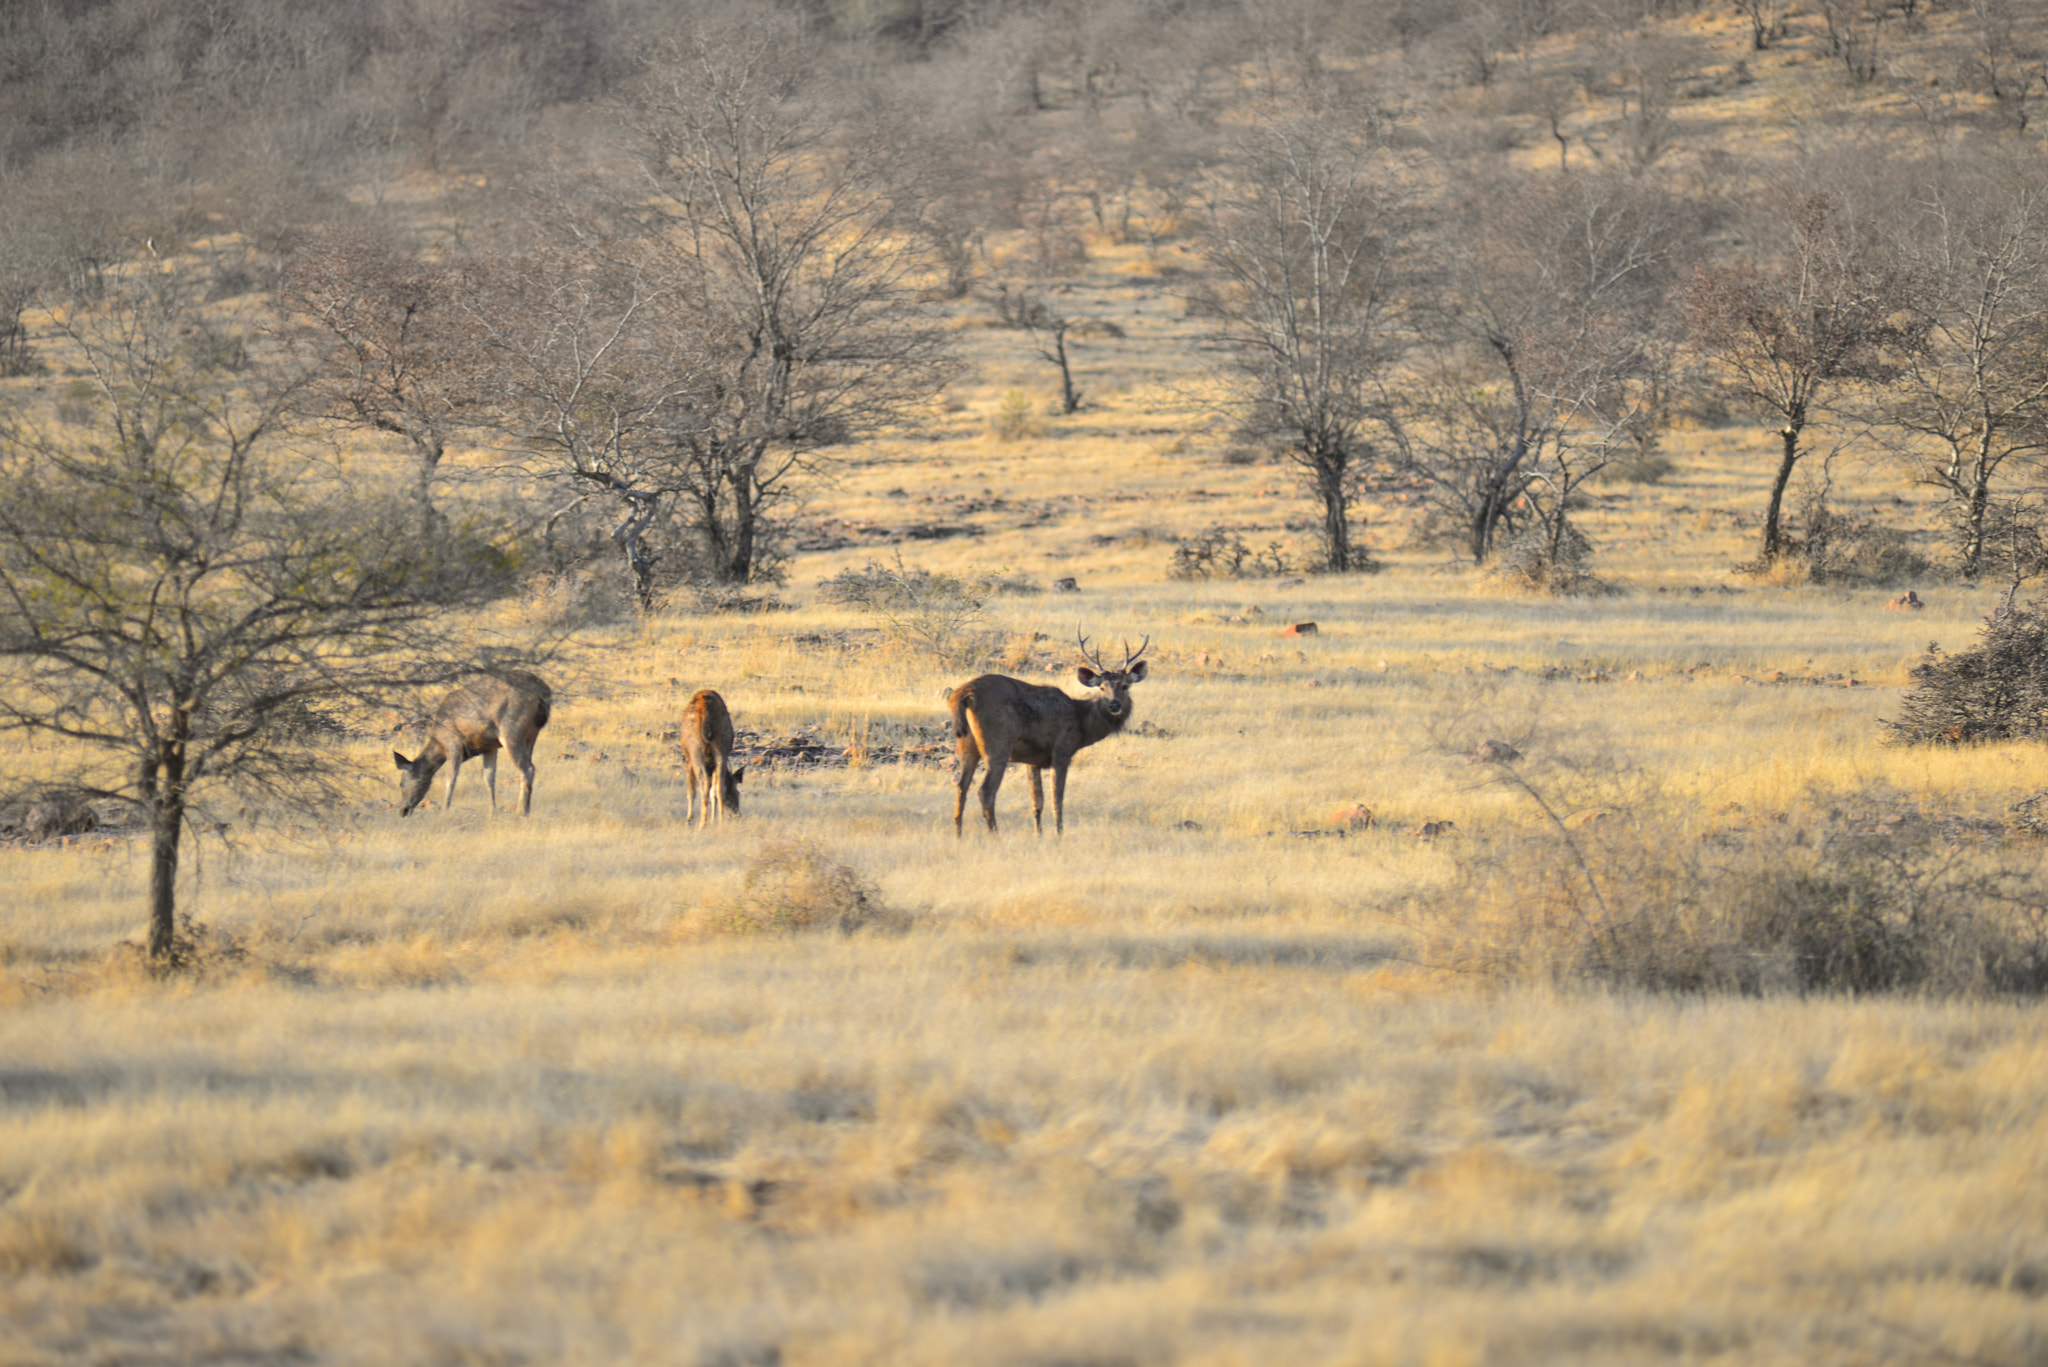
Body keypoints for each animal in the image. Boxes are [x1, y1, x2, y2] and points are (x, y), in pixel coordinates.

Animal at [389, 672, 552, 819]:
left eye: (401, 784)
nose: (403, 811)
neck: (439, 742)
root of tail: (542, 691)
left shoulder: (453, 743)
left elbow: (451, 779)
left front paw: (444, 811)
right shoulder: (489, 746)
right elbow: (489, 778)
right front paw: (492, 811)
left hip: (511, 729)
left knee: (527, 768)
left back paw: (521, 811)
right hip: (531, 734)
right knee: (529, 766)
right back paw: (525, 809)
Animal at [679, 688, 745, 827]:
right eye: (736, 793)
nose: (738, 815)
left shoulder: (688, 759)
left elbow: (691, 791)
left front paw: (689, 818)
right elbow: (713, 791)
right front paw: (713, 819)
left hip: (695, 750)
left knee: (703, 784)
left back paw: (702, 824)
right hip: (722, 747)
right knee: (719, 786)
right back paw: (719, 821)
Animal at [946, 635, 1146, 840]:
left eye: (1125, 686)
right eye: (1102, 687)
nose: (1114, 705)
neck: (1081, 723)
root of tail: (965, 692)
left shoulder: (1032, 761)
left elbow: (1037, 802)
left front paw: (1039, 835)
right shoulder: (1062, 751)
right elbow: (1057, 798)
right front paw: (1059, 834)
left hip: (966, 744)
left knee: (961, 786)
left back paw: (958, 835)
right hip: (998, 743)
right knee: (985, 790)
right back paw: (995, 835)